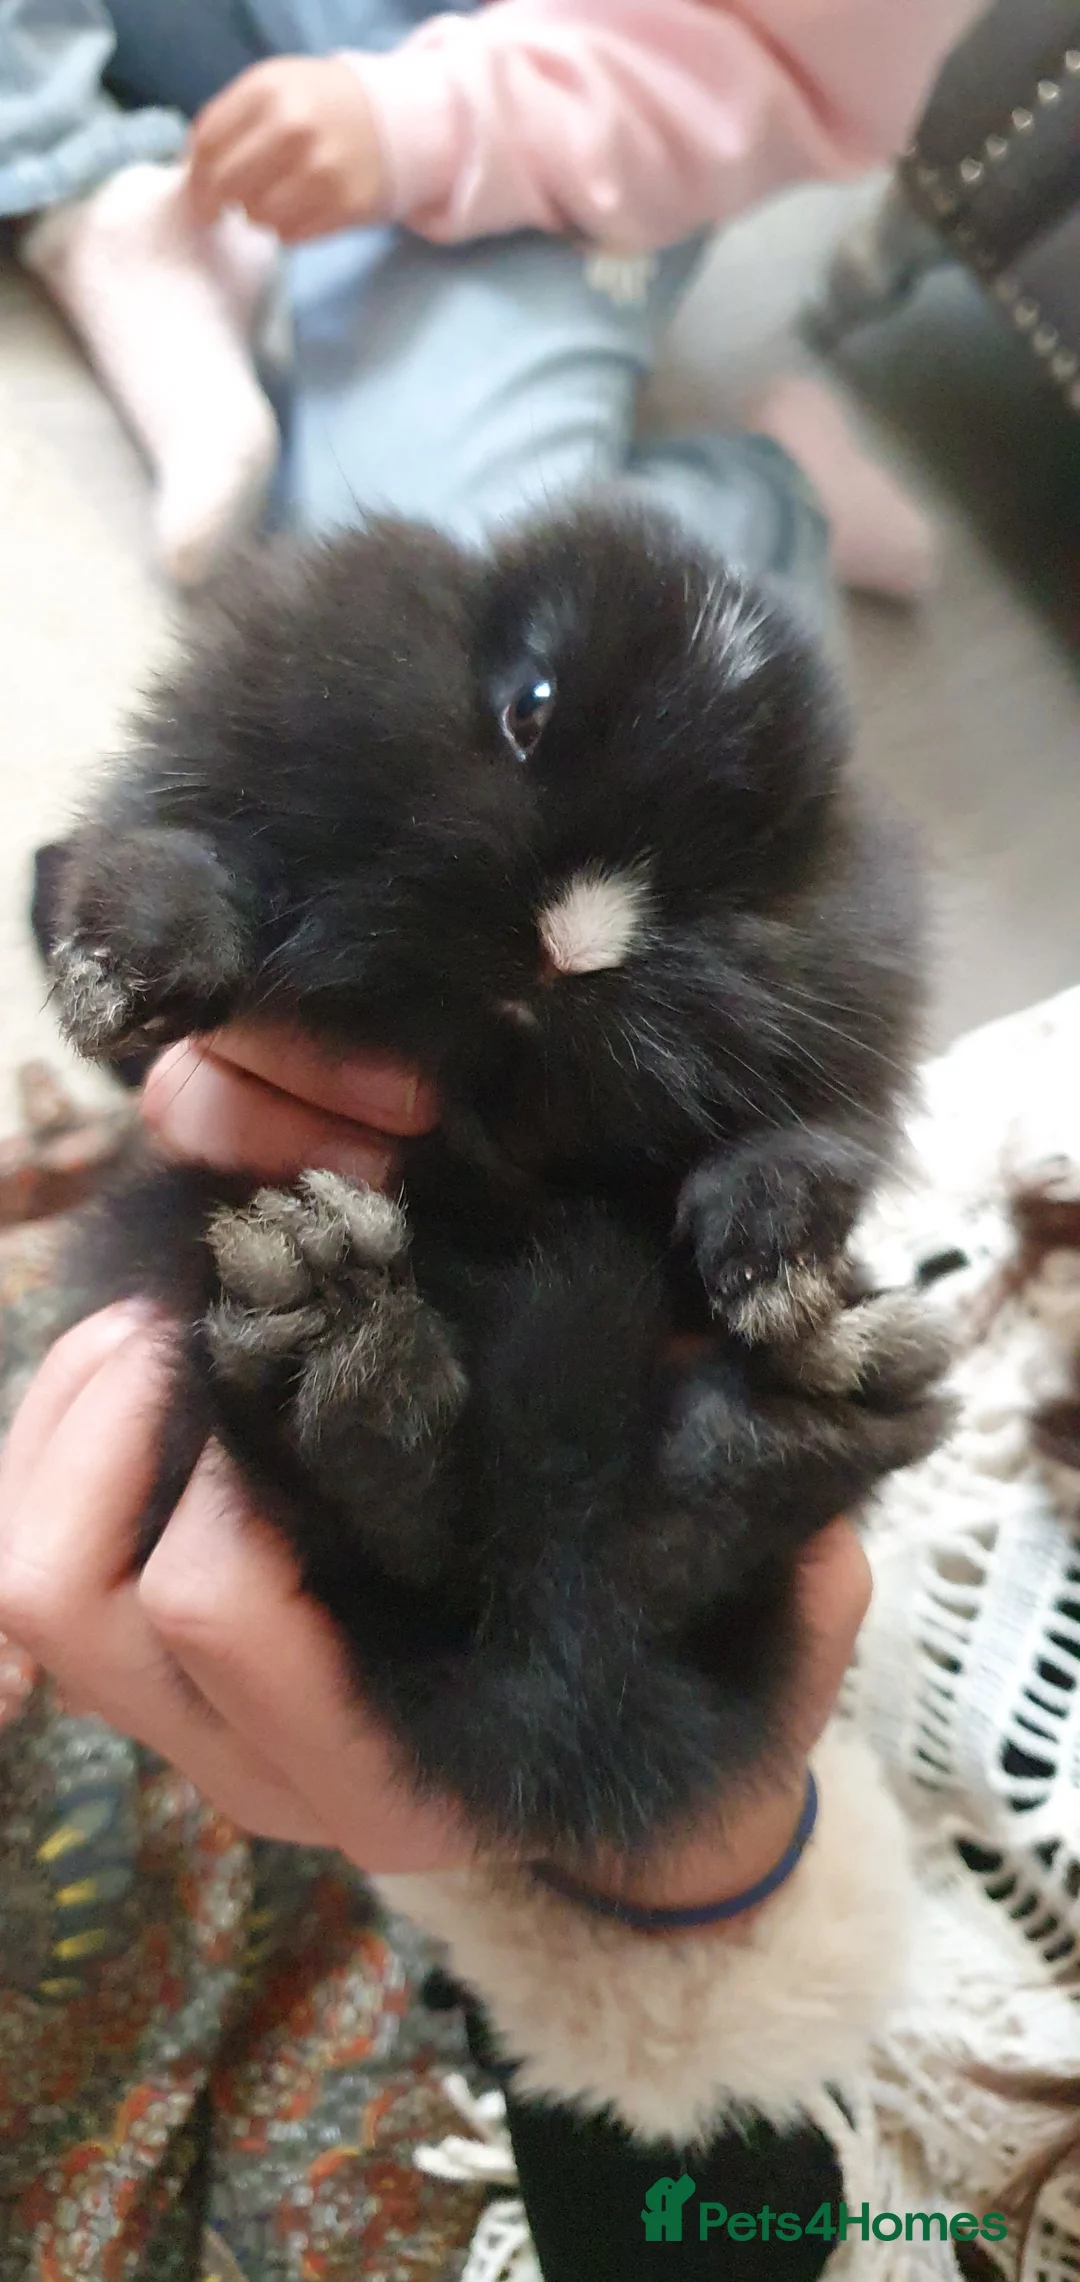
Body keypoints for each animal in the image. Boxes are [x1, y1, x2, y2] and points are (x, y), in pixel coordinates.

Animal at [46, 499, 949, 1861]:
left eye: (739, 863)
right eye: (528, 709)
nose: (573, 946)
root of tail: (549, 1666)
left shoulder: (841, 1045)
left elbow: (802, 1139)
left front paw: (781, 1257)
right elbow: (177, 863)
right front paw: (123, 975)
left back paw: (807, 1398)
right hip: (176, 1282)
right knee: (390, 1541)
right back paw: (331, 1332)